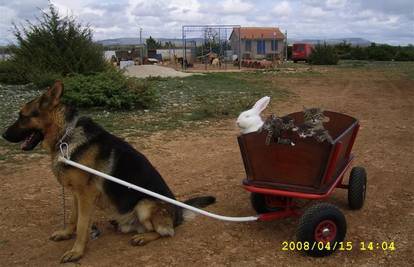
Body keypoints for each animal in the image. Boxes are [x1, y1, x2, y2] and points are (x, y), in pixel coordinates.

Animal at [3, 80, 215, 264]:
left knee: (167, 232)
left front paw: (76, 252)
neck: (65, 135)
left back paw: (144, 237)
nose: (3, 135)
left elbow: (82, 226)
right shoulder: (76, 194)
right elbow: (73, 218)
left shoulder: (86, 195)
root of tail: (178, 212)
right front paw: (66, 234)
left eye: (22, 116)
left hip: (145, 205)